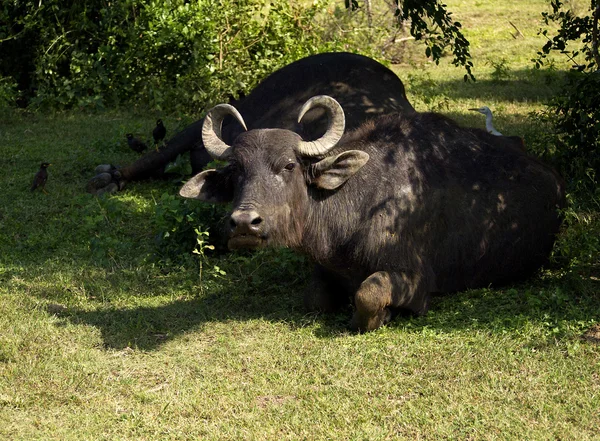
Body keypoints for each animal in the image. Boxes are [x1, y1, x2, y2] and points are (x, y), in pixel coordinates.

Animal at [180, 95, 564, 330]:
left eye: (289, 165)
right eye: (236, 171)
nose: (245, 223)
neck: (356, 206)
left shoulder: (415, 277)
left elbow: (367, 294)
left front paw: (382, 315)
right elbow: (314, 298)